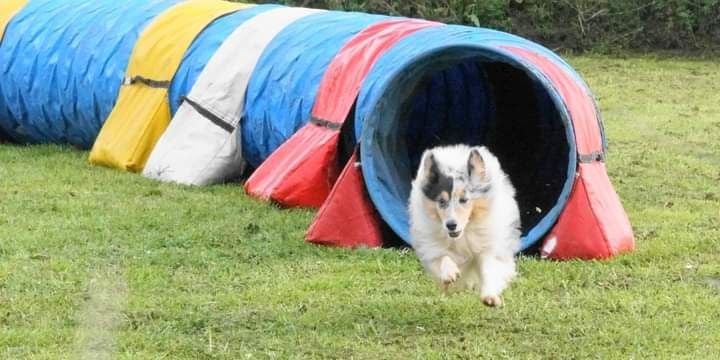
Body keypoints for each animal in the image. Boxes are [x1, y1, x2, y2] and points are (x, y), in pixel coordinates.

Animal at [408, 145, 520, 306]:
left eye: (464, 200)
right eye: (441, 201)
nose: (451, 225)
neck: (464, 233)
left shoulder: (488, 247)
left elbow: (489, 269)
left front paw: (490, 297)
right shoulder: (431, 246)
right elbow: (442, 256)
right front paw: (450, 273)